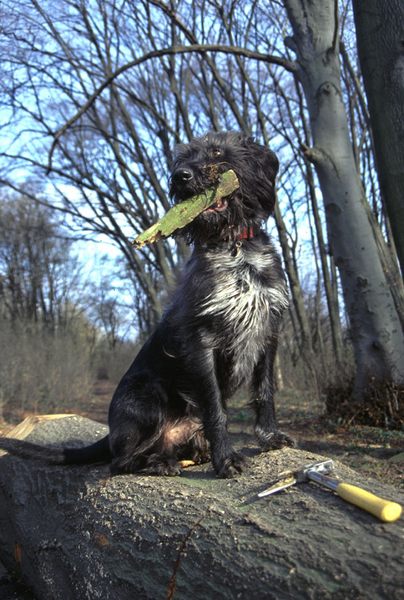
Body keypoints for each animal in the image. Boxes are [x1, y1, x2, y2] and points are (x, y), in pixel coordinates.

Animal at [0, 131, 294, 478]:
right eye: (182, 159)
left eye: (217, 152)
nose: (181, 176)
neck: (235, 248)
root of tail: (112, 433)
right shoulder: (202, 341)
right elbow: (215, 409)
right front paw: (226, 458)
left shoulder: (268, 333)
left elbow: (264, 391)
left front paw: (269, 437)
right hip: (147, 395)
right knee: (120, 461)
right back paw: (159, 463)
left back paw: (193, 452)